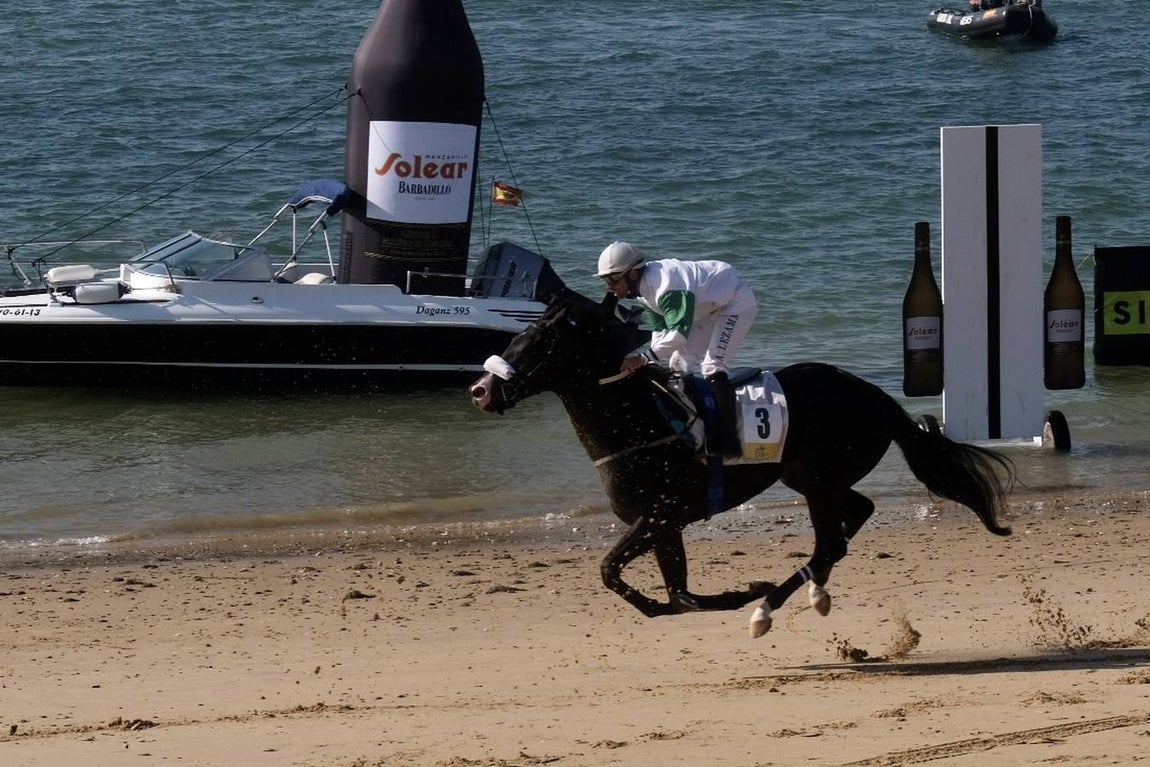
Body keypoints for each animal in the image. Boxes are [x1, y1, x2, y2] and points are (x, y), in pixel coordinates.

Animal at [468, 288, 1014, 638]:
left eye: (540, 340)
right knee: (855, 516)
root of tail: (881, 399)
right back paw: (810, 593)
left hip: (818, 481)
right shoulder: (665, 524)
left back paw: (767, 608)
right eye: (520, 335)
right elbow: (674, 597)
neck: (641, 424)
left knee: (830, 541)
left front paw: (747, 592)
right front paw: (717, 596)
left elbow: (616, 573)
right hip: (813, 478)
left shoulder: (660, 513)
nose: (480, 390)